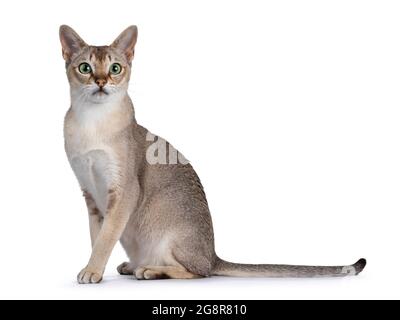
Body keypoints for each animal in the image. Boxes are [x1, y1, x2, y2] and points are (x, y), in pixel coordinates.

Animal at [58, 25, 366, 284]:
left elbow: (106, 237)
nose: (101, 81)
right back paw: (132, 265)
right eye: (85, 68)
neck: (91, 123)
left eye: (115, 68)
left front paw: (92, 271)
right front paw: (95, 269)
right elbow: (97, 237)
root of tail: (213, 254)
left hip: (169, 236)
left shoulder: (124, 191)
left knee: (199, 271)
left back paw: (150, 270)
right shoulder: (90, 194)